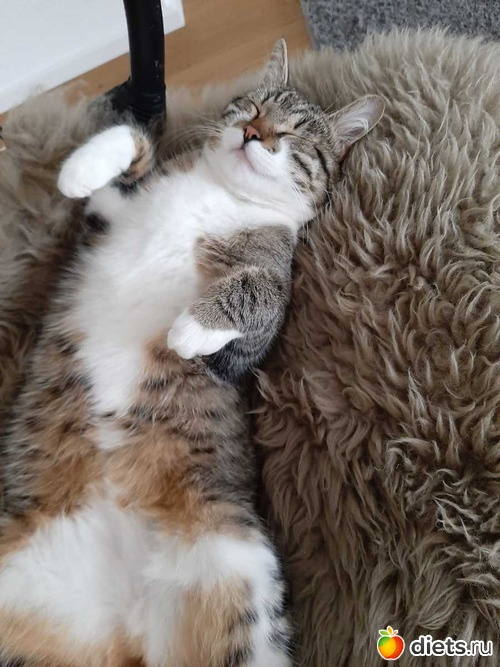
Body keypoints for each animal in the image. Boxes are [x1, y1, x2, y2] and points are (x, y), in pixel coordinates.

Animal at [0, 40, 384, 666]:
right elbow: (132, 143)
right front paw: (77, 169)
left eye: (296, 132)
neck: (220, 193)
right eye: (252, 104)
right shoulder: (107, 219)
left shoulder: (251, 338)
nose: (253, 133)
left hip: (240, 576)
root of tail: (120, 636)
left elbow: (259, 293)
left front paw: (187, 329)